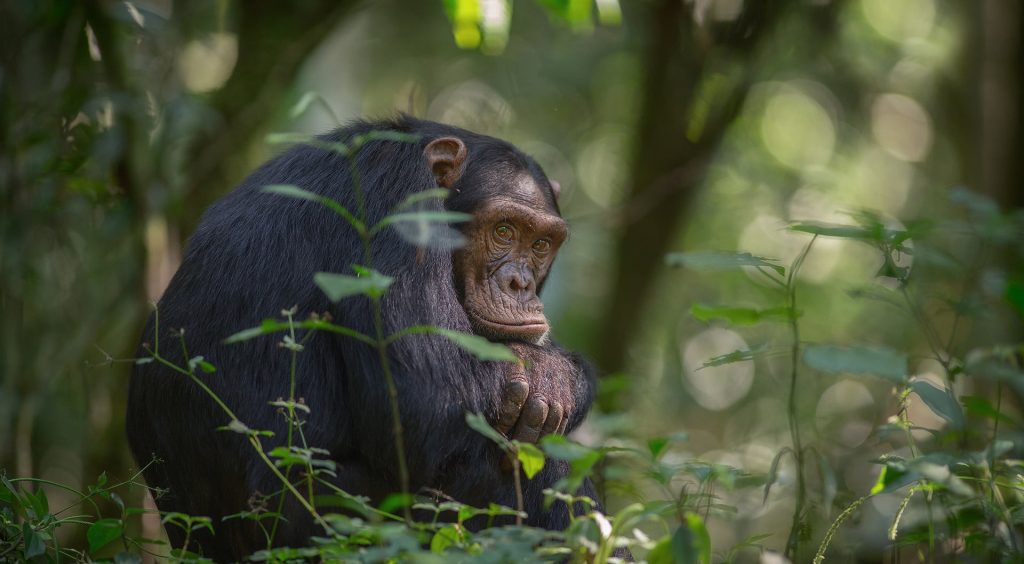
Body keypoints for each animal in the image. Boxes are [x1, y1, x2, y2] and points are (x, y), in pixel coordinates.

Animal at [129, 115, 606, 560]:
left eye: (541, 244)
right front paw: (553, 378)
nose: (519, 283)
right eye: (504, 230)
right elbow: (427, 397)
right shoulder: (393, 197)